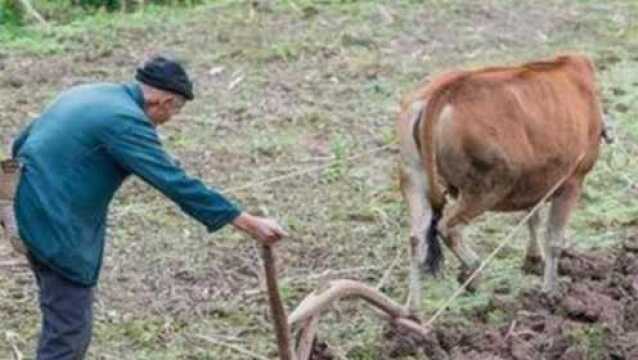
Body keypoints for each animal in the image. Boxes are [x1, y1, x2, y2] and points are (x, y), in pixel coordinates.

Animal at [398, 54, 608, 314]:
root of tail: (445, 91)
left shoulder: (538, 180)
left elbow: (532, 218)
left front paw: (533, 260)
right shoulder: (572, 182)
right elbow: (554, 240)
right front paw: (550, 292)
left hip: (413, 179)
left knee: (417, 239)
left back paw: (413, 309)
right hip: (485, 189)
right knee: (449, 227)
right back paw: (473, 270)